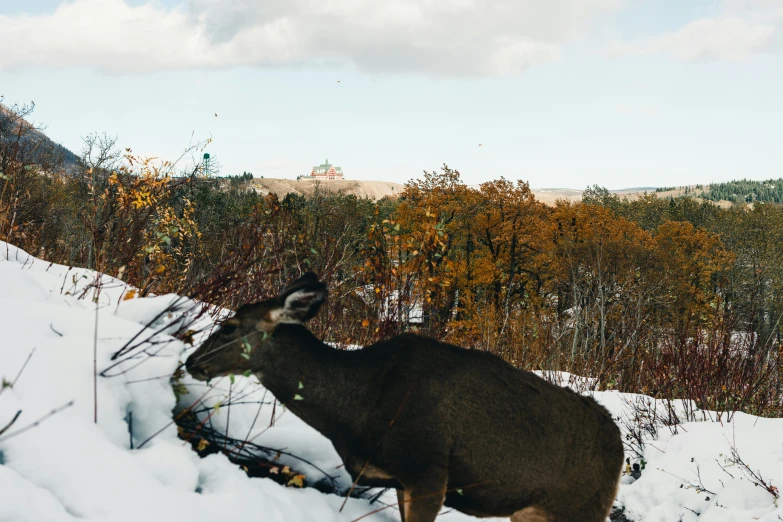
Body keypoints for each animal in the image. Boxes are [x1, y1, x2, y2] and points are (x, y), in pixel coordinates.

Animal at [184, 272, 624, 520]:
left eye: (229, 326)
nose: (191, 362)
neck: (359, 410)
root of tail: (619, 444)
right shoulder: (398, 478)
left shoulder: (428, 470)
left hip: (582, 508)